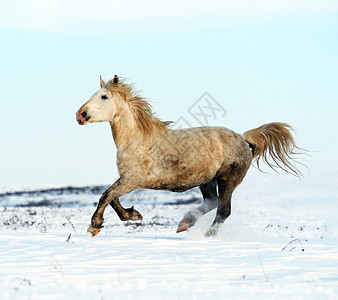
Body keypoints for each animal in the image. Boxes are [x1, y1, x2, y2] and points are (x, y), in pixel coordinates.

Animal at [76, 75, 302, 237]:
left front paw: (94, 226)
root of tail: (243, 138)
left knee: (223, 210)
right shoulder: (126, 179)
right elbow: (112, 197)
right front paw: (133, 215)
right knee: (212, 202)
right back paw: (185, 224)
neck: (137, 140)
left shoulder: (133, 180)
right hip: (207, 181)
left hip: (227, 179)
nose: (80, 115)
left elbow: (106, 195)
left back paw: (206, 236)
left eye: (103, 96)